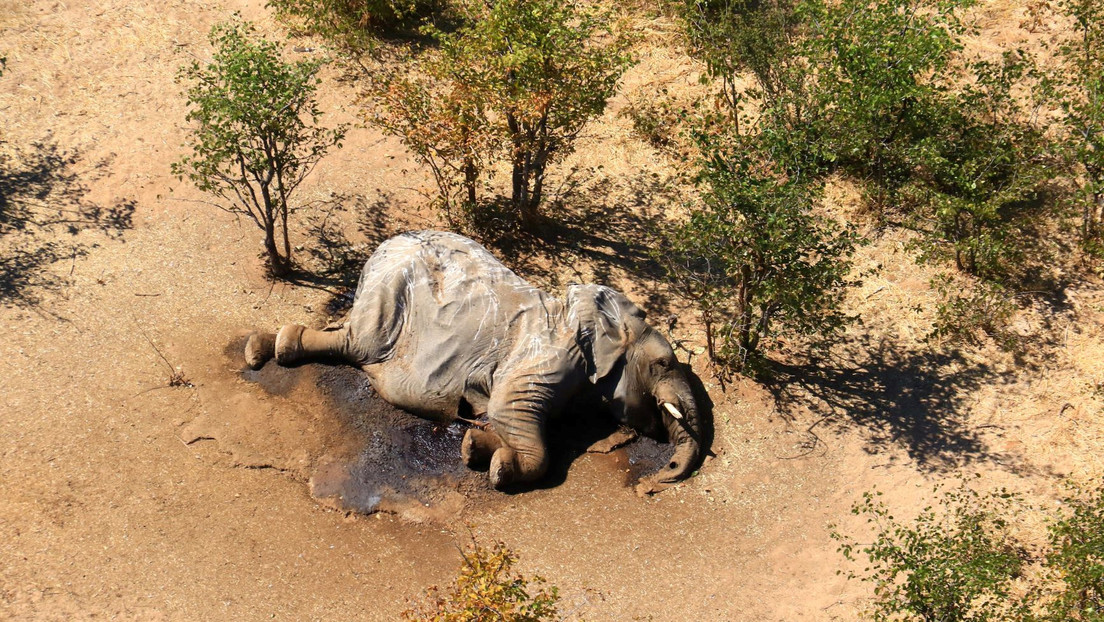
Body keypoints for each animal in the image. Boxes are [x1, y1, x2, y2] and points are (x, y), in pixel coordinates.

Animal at [244, 231, 707, 493]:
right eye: (663, 364)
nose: (657, 481)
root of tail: (382, 246)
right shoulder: (547, 356)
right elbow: (510, 410)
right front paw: (501, 469)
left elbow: (504, 418)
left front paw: (475, 447)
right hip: (389, 292)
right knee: (358, 344)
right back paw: (269, 348)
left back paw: (263, 347)